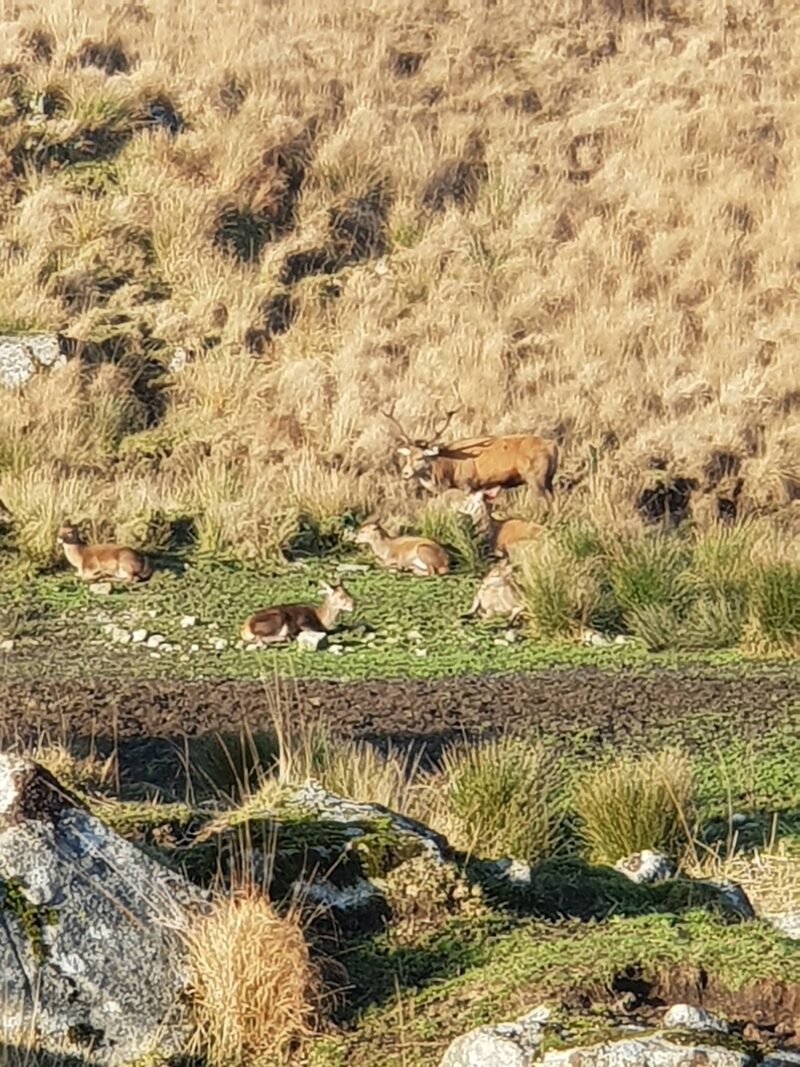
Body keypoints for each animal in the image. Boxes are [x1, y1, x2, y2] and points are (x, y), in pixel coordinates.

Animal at [383, 404, 559, 506]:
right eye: (407, 457)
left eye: (421, 457)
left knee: (545, 500)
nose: (405, 473)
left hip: (535, 476)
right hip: (548, 477)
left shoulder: (467, 483)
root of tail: (553, 446)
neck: (448, 470)